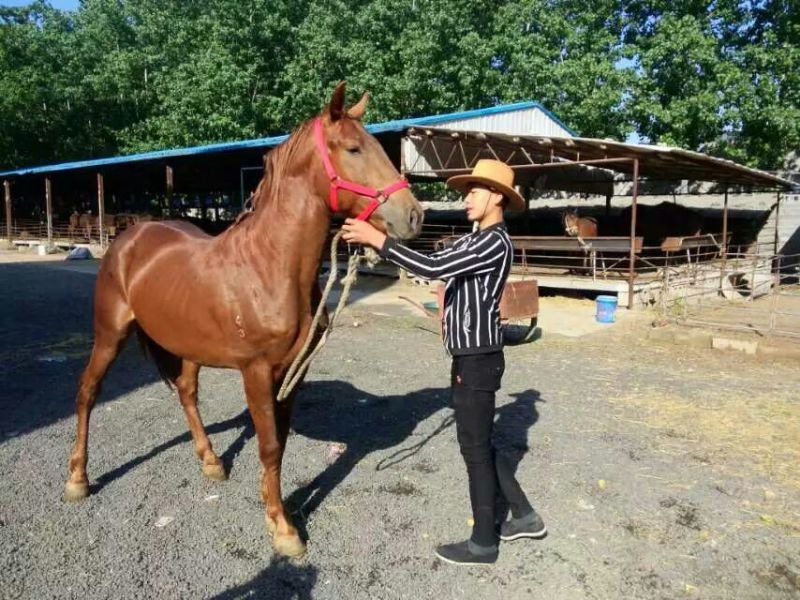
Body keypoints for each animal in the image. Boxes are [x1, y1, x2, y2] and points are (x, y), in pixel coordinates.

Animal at [62, 82, 423, 558]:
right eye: (354, 148)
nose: (413, 215)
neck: (269, 267)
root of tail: (129, 237)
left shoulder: (291, 373)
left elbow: (279, 445)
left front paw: (272, 505)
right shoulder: (256, 371)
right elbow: (268, 445)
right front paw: (284, 529)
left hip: (186, 343)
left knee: (186, 392)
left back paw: (212, 460)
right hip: (109, 335)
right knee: (88, 393)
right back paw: (78, 479)